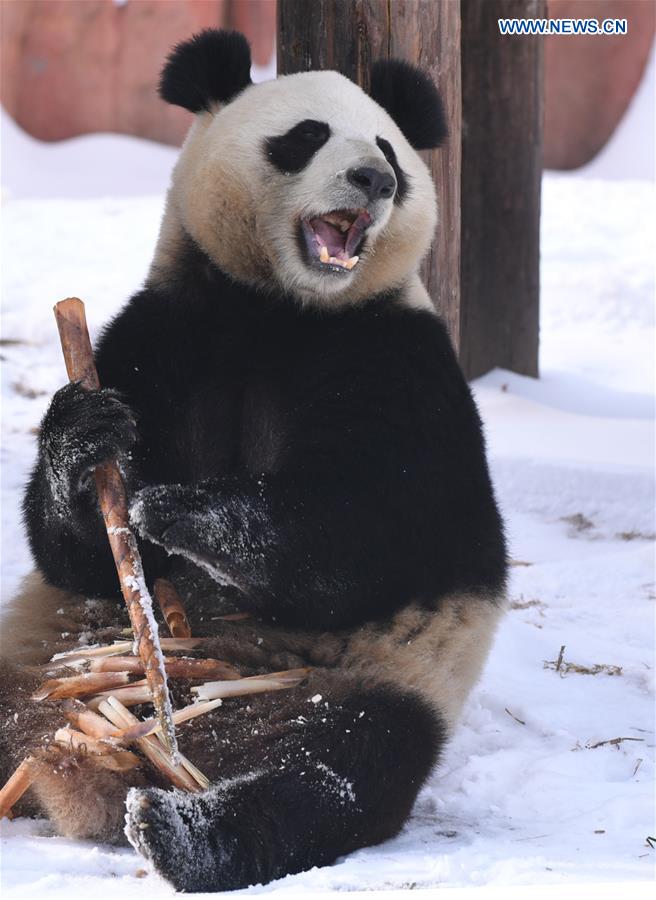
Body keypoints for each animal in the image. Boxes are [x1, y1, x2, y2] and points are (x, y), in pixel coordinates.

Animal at [0, 30, 507, 893]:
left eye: (388, 151)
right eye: (305, 135)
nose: (373, 181)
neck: (281, 309)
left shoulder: (401, 360)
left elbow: (376, 535)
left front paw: (185, 510)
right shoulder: (164, 332)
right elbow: (79, 555)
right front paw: (90, 442)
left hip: (352, 681)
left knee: (332, 769)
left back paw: (186, 830)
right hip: (33, 661)